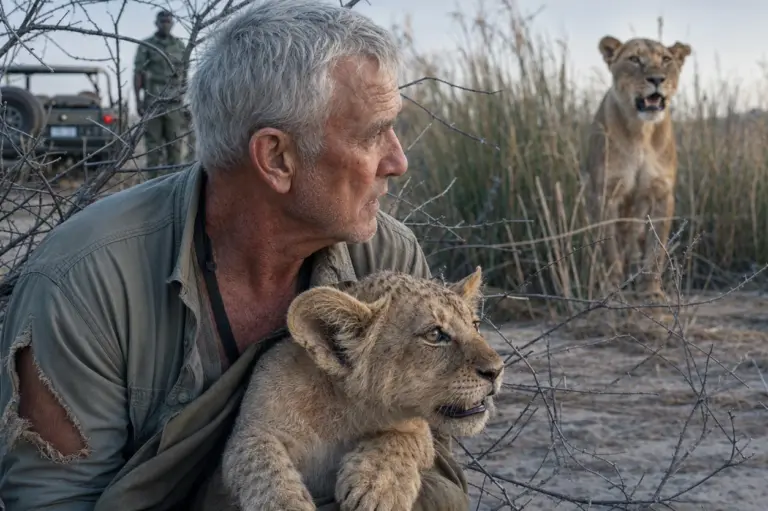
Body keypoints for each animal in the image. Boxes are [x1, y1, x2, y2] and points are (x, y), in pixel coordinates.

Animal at [220, 267, 504, 511]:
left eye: (475, 325)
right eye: (435, 335)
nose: (497, 370)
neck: (341, 410)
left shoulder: (419, 430)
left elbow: (400, 438)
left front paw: (378, 486)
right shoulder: (252, 430)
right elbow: (262, 464)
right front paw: (285, 504)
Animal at [582, 35, 692, 300]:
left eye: (666, 59)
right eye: (634, 59)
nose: (657, 79)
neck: (642, 132)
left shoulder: (661, 194)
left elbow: (655, 250)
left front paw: (651, 291)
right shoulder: (605, 194)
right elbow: (609, 249)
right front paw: (611, 290)